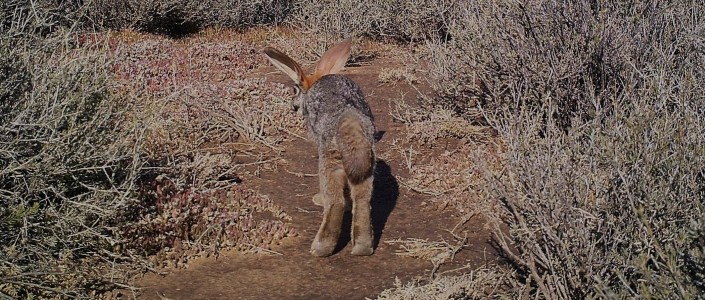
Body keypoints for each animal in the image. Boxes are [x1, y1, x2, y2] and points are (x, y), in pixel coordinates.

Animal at [262, 38, 374, 256]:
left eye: (295, 89)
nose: (293, 106)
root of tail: (349, 121)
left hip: (330, 160)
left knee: (335, 202)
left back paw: (320, 248)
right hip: (365, 166)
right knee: (362, 200)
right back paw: (363, 248)